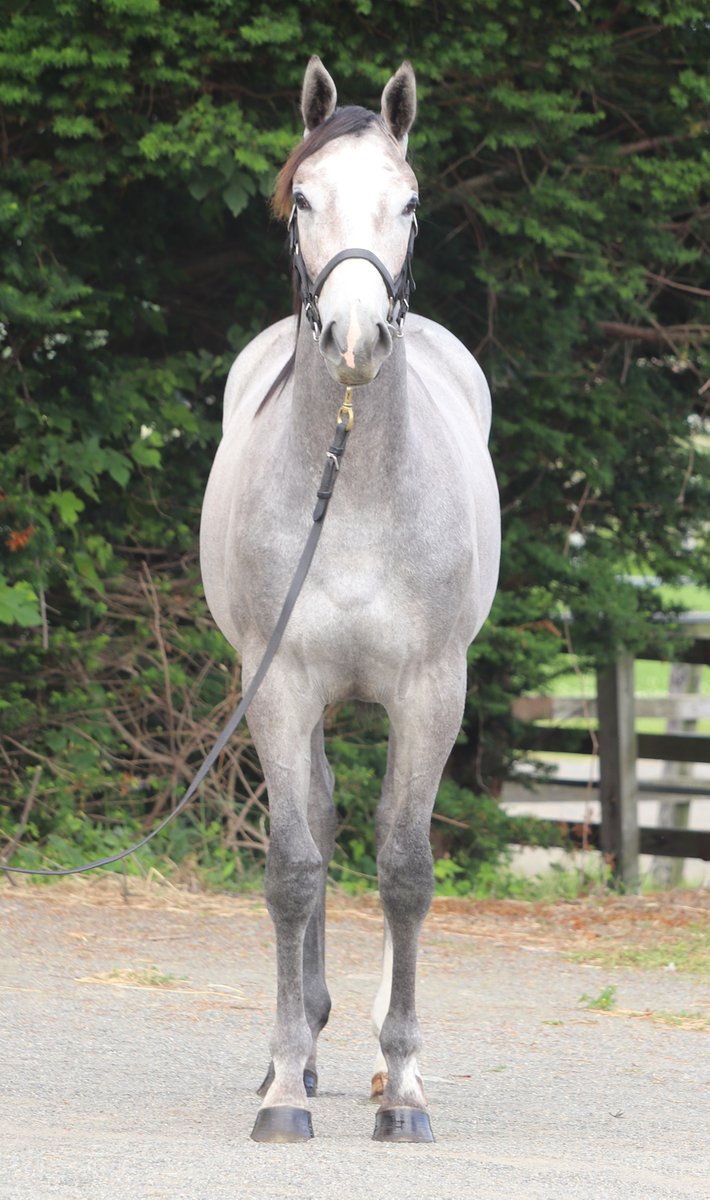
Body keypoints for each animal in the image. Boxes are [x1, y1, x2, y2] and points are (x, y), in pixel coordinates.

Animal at [200, 57, 500, 1144]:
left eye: (407, 202)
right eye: (303, 200)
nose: (356, 336)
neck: (360, 489)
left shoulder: (430, 691)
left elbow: (407, 870)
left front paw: (404, 1087)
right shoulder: (281, 683)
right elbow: (294, 865)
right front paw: (286, 1086)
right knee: (323, 823)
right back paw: (306, 1045)